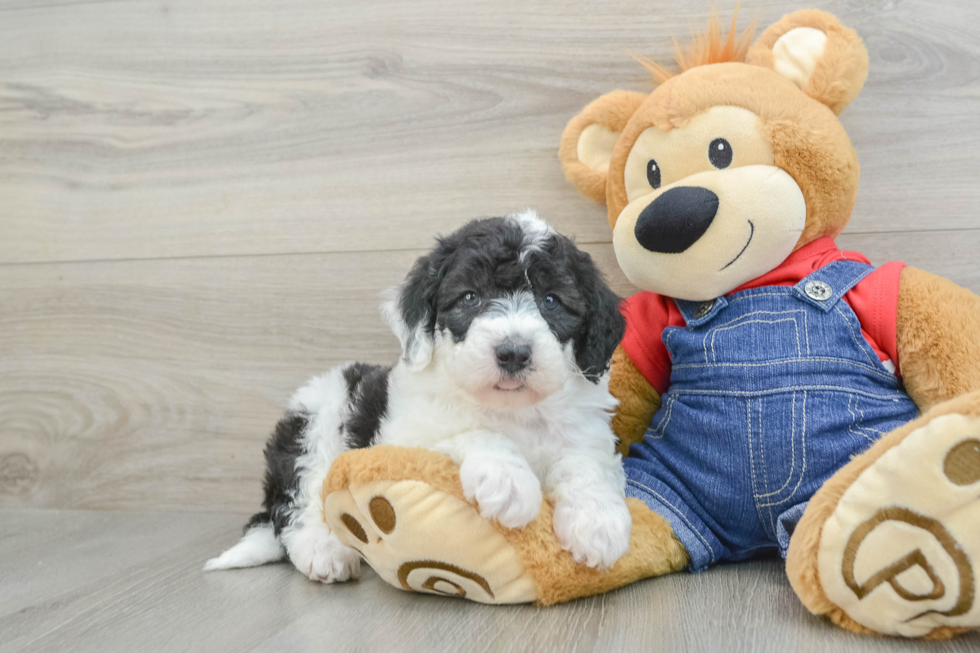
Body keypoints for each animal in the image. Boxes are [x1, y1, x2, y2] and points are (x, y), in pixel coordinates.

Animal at [209, 211, 636, 584]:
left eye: (551, 301)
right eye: (469, 297)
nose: (514, 352)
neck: (511, 410)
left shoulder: (587, 432)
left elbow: (585, 464)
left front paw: (598, 522)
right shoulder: (403, 436)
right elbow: (469, 433)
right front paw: (509, 481)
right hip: (315, 422)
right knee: (300, 504)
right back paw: (325, 550)